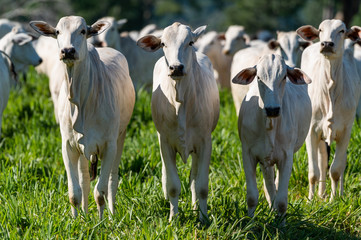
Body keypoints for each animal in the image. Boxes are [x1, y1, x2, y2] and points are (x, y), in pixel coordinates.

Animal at [29, 16, 135, 219]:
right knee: (85, 179)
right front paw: (76, 221)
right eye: (57, 32)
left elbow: (100, 191)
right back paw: (85, 214)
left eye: (83, 31)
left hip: (121, 135)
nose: (68, 51)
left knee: (112, 179)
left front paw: (102, 222)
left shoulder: (109, 145)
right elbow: (74, 192)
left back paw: (111, 215)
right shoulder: (69, 145)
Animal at [136, 22, 218, 223]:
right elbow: (173, 185)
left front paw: (203, 218)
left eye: (190, 42)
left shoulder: (205, 143)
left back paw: (196, 207)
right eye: (163, 44)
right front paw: (173, 218)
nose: (176, 68)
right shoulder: (165, 142)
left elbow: (201, 185)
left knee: (194, 178)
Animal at [232, 54, 310, 221]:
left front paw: (281, 223)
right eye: (259, 78)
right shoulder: (248, 155)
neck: (269, 125)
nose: (272, 109)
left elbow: (281, 201)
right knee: (269, 186)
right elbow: (252, 197)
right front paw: (250, 222)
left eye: (284, 77)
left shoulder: (286, 157)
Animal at [296, 18, 360, 200]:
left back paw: (335, 194)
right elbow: (314, 172)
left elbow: (336, 170)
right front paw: (311, 200)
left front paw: (334, 200)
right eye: (320, 29)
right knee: (322, 160)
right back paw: (320, 193)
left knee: (338, 164)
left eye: (342, 30)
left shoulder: (346, 131)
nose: (326, 43)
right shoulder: (312, 131)